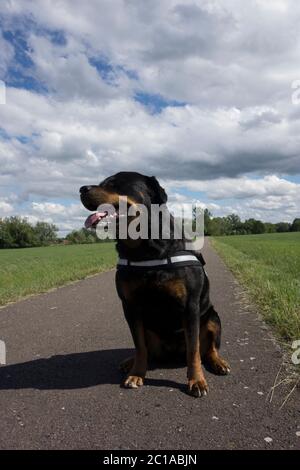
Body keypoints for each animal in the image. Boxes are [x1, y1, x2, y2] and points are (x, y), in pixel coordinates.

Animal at [79, 172, 230, 396]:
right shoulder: (130, 307)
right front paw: (136, 374)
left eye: (115, 183)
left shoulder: (190, 306)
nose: (81, 189)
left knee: (209, 348)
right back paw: (130, 362)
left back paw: (218, 363)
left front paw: (196, 380)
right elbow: (139, 346)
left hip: (212, 317)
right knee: (146, 349)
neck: (145, 248)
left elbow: (194, 350)